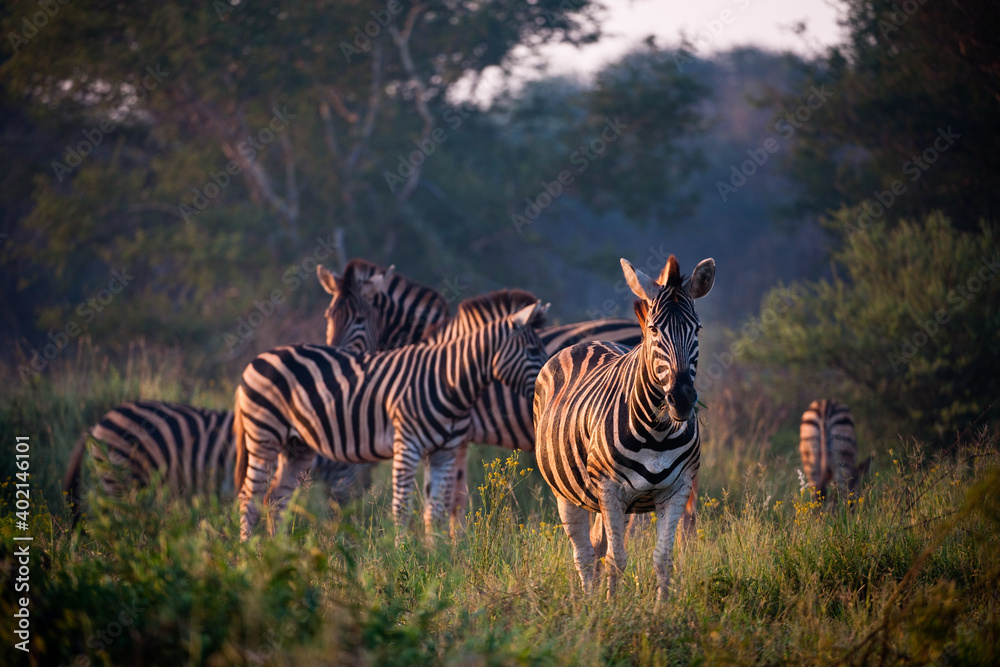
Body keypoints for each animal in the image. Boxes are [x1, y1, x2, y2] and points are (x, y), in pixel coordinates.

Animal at [233, 294, 548, 540]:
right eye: (533, 350)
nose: (545, 382)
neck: (449, 381)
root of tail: (255, 361)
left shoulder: (444, 451)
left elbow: (434, 509)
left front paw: (437, 558)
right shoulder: (407, 444)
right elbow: (402, 507)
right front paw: (402, 554)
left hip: (296, 446)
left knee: (276, 498)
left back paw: (277, 552)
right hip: (263, 435)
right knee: (250, 497)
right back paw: (248, 554)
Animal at [536, 253, 716, 604]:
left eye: (697, 329)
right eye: (654, 329)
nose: (682, 399)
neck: (658, 432)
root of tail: (588, 342)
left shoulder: (677, 489)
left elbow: (662, 558)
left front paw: (662, 610)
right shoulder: (610, 489)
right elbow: (616, 559)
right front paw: (610, 609)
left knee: (595, 545)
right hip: (567, 492)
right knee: (583, 553)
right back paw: (589, 602)